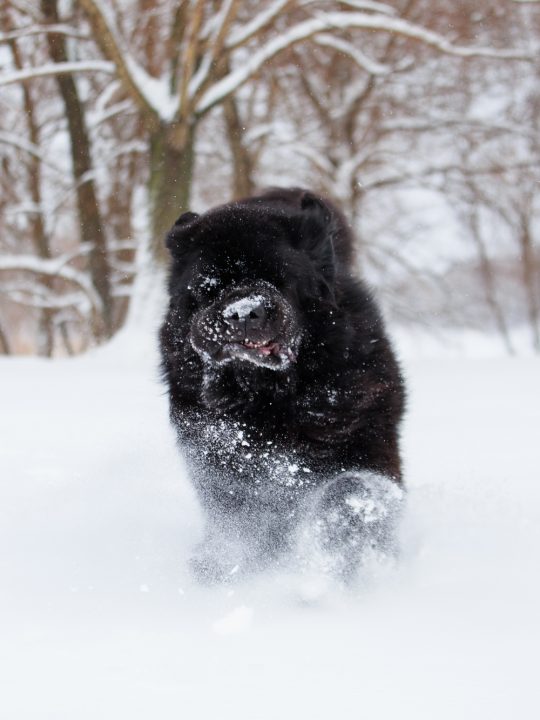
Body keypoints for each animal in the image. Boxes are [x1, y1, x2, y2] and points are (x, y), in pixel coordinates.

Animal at [160, 188, 404, 584]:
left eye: (279, 278)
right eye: (209, 287)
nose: (243, 311)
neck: (266, 398)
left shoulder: (366, 443)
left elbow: (349, 491)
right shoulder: (221, 468)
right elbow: (238, 521)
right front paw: (222, 564)